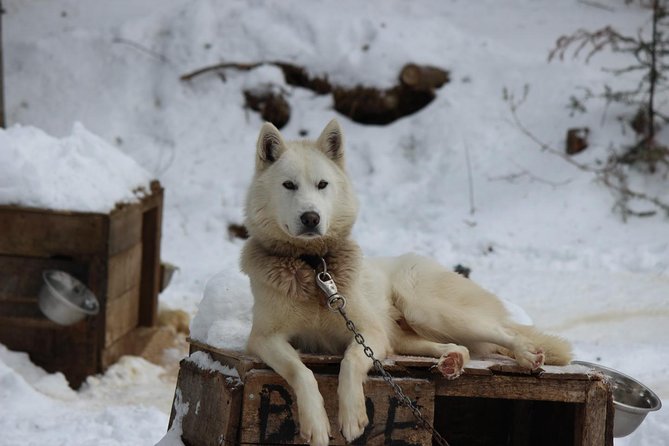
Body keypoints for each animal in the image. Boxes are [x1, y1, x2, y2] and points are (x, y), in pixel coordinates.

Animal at [240, 118, 568, 446]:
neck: (313, 266)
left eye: (322, 185)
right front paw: (317, 424)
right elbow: (300, 371)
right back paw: (451, 361)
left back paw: (526, 353)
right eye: (289, 185)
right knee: (458, 346)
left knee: (501, 331)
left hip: (425, 310)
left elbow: (350, 361)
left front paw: (353, 416)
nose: (311, 217)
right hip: (404, 335)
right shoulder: (263, 339)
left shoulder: (368, 333)